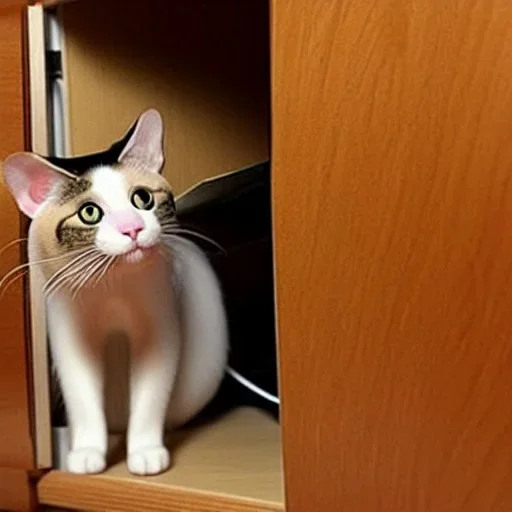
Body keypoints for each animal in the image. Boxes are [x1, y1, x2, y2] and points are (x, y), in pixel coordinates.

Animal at [0, 108, 228, 476]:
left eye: (143, 198)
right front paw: (87, 451)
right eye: (89, 212)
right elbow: (82, 394)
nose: (131, 228)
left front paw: (146, 450)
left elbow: (151, 392)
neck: (111, 286)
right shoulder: (68, 329)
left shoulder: (159, 319)